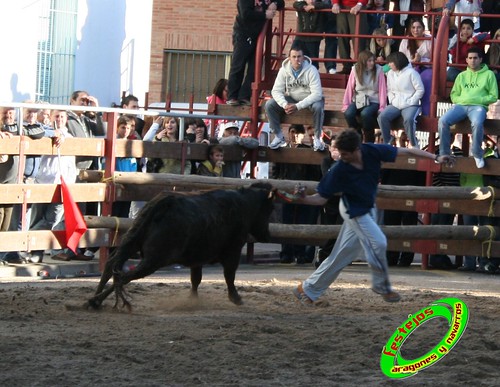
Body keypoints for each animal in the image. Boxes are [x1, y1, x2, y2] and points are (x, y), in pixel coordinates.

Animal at [86, 183, 274, 310]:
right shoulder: (233, 250)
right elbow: (229, 275)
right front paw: (236, 298)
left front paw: (193, 300)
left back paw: (94, 299)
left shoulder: (198, 257)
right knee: (125, 276)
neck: (245, 203)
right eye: (269, 209)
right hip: (155, 259)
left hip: (132, 241)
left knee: (111, 265)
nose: (267, 235)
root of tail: (164, 203)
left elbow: (196, 279)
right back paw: (97, 300)